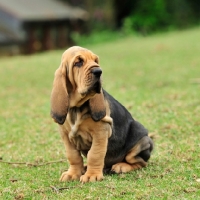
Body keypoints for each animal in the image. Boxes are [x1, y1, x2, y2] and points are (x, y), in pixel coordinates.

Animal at [50, 45, 153, 183]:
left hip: (140, 141)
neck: (77, 107)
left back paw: (121, 166)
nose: (98, 71)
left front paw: (91, 175)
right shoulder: (66, 136)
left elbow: (95, 154)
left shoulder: (100, 133)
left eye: (95, 61)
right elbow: (73, 156)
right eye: (78, 62)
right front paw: (73, 173)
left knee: (140, 162)